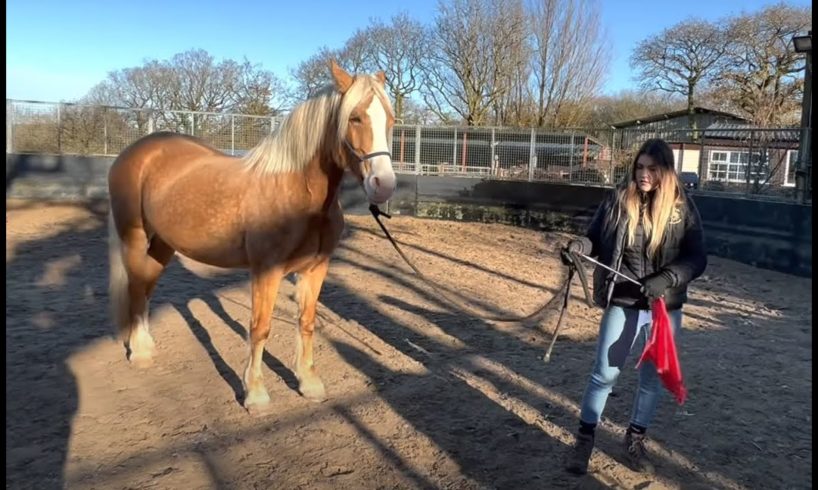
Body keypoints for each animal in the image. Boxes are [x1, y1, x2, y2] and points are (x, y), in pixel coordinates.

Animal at [107, 62, 396, 414]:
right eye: (355, 118)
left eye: (391, 119)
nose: (383, 183)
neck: (297, 191)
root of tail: (135, 151)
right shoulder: (265, 271)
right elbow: (260, 329)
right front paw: (256, 394)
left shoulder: (315, 268)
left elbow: (307, 321)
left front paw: (308, 383)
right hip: (134, 236)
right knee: (136, 286)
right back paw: (139, 352)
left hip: (164, 243)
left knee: (146, 285)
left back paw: (145, 343)